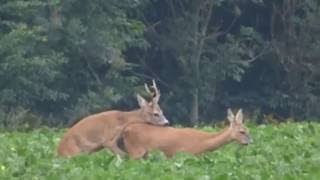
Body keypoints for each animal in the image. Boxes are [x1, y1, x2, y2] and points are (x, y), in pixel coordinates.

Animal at [119, 108, 251, 159]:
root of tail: (126, 129)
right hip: (135, 151)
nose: (250, 141)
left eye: (249, 130)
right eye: (242, 131)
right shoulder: (186, 155)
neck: (203, 142)